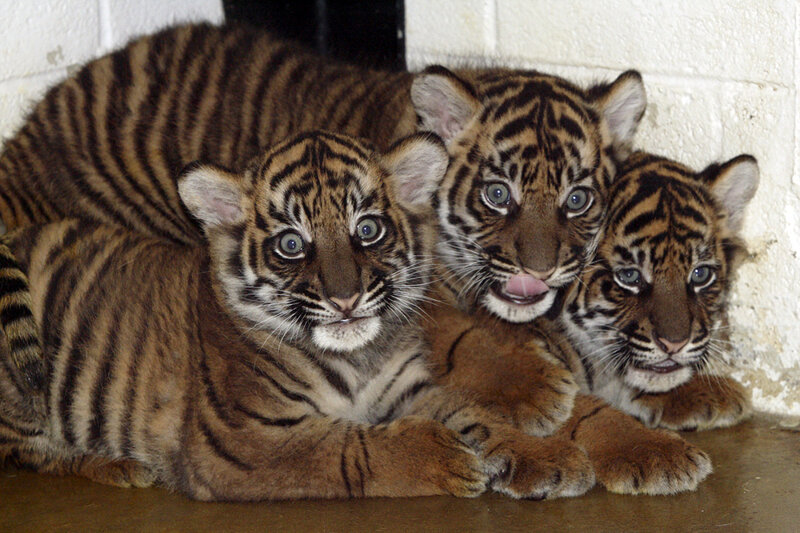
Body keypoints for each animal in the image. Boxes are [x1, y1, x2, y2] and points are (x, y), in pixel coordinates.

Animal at [0, 23, 647, 435]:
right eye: (497, 195)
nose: (542, 269)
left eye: (578, 198)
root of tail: (23, 142)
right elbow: (462, 334)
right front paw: (535, 386)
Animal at [0, 130, 597, 501]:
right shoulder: (243, 441)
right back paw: (117, 465)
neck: (357, 356)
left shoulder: (406, 387)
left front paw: (548, 456)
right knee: (29, 454)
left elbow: (473, 412)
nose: (345, 299)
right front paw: (443, 457)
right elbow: (347, 448)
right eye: (291, 244)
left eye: (367, 230)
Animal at [420, 151, 757, 494]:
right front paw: (654, 452)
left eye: (700, 275)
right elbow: (581, 411)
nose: (675, 344)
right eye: (629, 276)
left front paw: (707, 392)